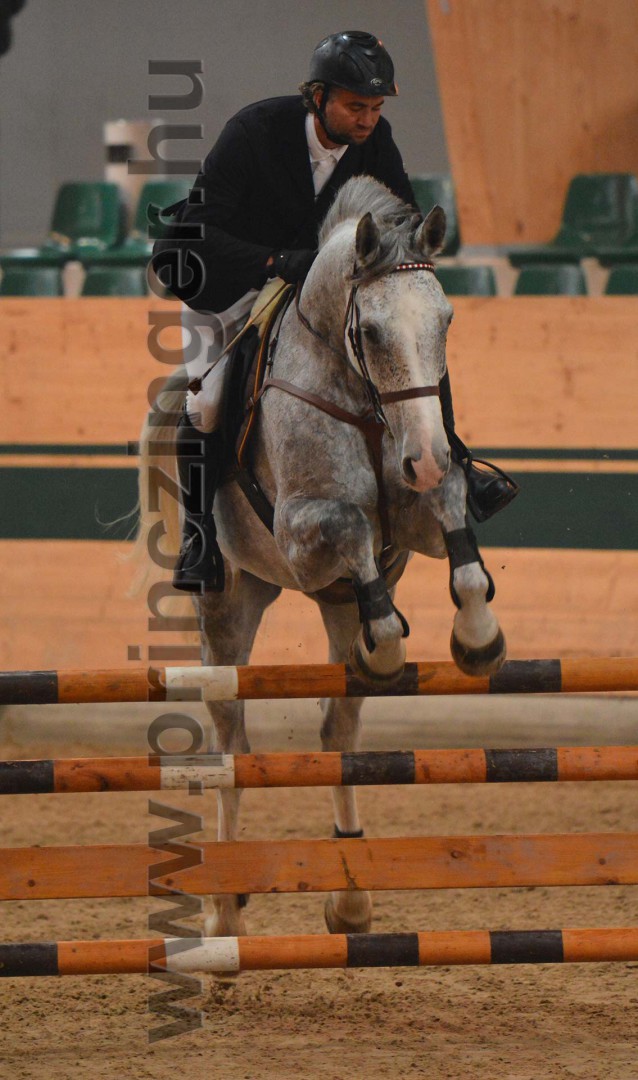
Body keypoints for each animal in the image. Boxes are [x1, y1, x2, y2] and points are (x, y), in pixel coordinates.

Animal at [137, 175, 506, 942]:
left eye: (446, 322)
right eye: (369, 333)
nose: (425, 457)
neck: (366, 405)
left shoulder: (425, 508)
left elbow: (461, 548)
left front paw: (479, 640)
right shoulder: (307, 535)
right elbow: (353, 534)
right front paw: (395, 647)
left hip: (328, 608)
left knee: (339, 727)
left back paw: (350, 892)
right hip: (229, 605)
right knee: (232, 740)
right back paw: (223, 907)